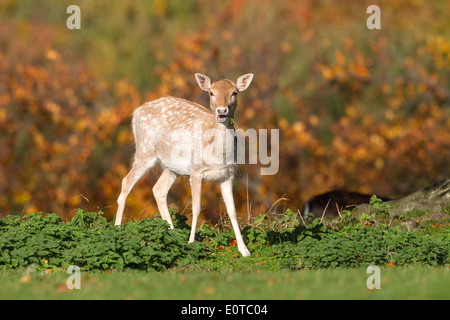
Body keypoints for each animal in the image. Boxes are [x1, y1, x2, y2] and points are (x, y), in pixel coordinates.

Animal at [115, 73, 253, 258]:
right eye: (211, 92)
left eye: (235, 93)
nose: (222, 111)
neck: (218, 155)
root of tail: (136, 112)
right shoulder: (195, 170)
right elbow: (196, 208)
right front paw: (191, 243)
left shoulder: (228, 174)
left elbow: (232, 210)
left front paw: (244, 250)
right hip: (145, 150)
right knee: (126, 182)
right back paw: (117, 229)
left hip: (172, 167)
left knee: (158, 189)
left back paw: (172, 233)